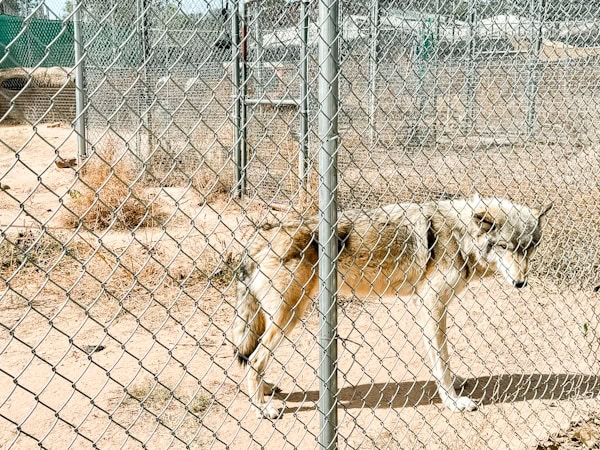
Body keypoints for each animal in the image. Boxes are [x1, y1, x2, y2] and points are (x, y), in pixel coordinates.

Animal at [231, 193, 552, 418]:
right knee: (256, 359)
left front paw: (455, 383)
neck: (461, 237)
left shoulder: (432, 307)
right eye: (506, 247)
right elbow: (441, 358)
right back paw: (262, 408)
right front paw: (453, 402)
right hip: (290, 315)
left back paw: (265, 389)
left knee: (253, 357)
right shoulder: (432, 305)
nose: (521, 283)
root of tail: (260, 236)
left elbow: (441, 357)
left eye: (529, 248)